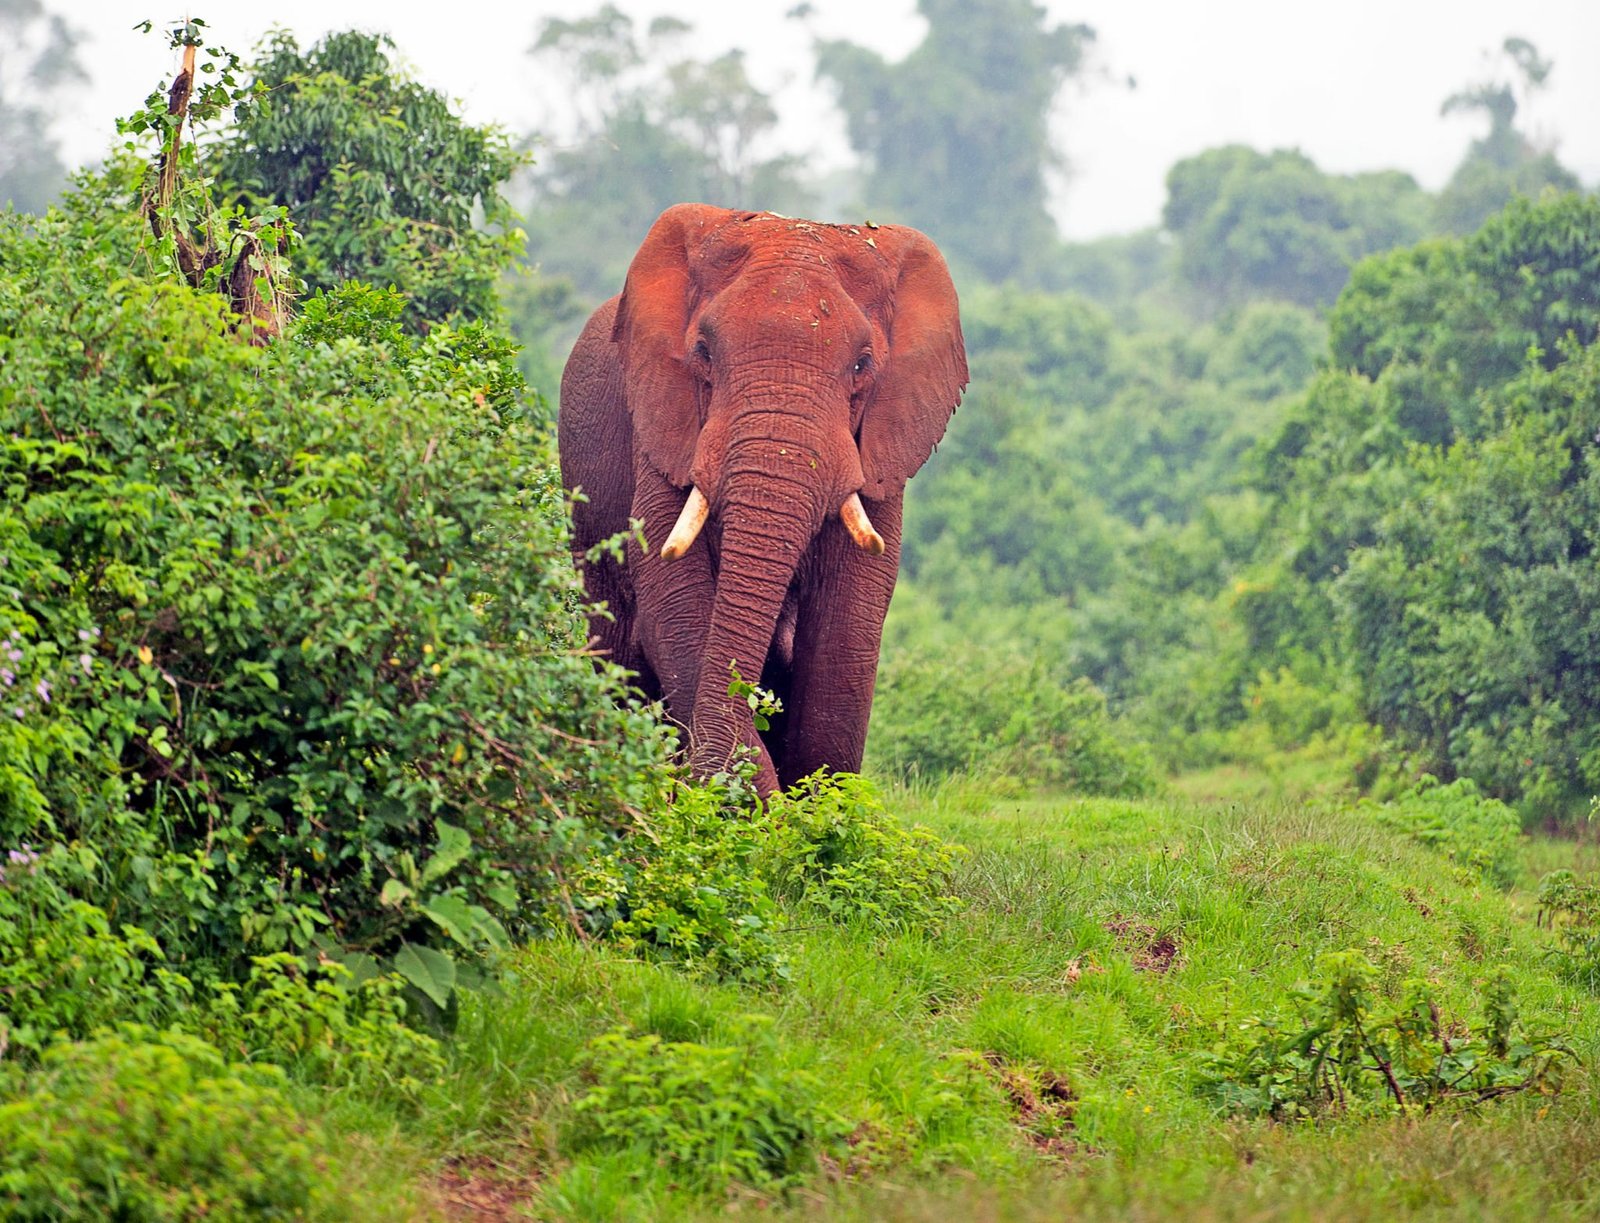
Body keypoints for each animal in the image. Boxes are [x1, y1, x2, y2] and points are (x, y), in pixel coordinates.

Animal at [556, 203, 966, 793]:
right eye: (703, 353)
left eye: (863, 364)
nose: (708, 783)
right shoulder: (660, 429)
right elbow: (673, 597)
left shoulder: (883, 453)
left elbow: (849, 619)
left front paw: (818, 808)